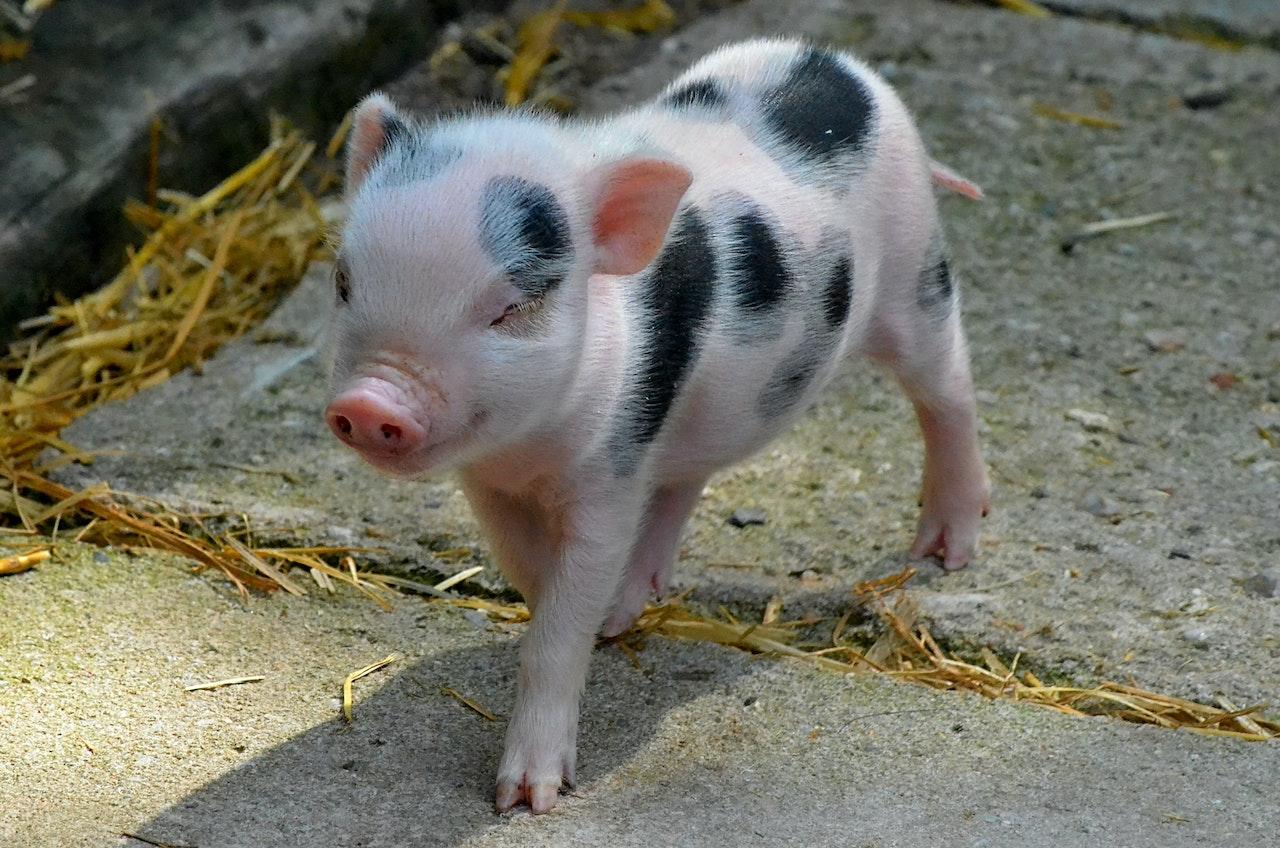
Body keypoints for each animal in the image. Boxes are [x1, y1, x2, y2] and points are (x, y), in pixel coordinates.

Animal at [325, 39, 983, 819]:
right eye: (343, 282)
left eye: (510, 307)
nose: (371, 402)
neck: (528, 448)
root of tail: (835, 61)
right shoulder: (493, 482)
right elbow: (527, 568)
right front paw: (599, 615)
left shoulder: (609, 472)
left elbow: (560, 620)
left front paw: (526, 799)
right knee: (686, 476)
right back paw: (633, 599)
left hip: (916, 272)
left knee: (949, 387)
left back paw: (945, 552)